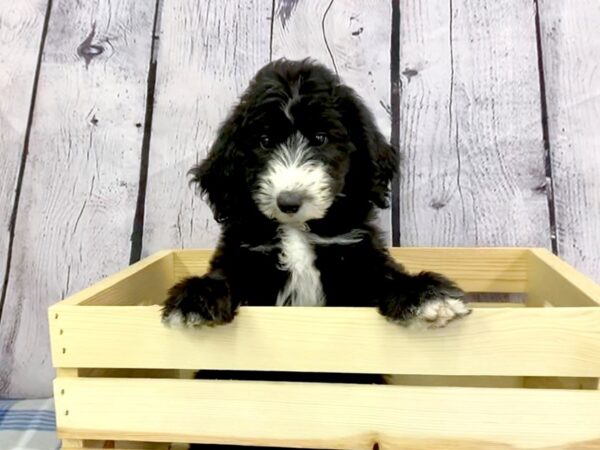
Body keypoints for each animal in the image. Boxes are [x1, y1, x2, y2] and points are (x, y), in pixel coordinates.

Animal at [162, 58, 472, 328]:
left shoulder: (358, 258)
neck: (297, 229)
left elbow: (386, 277)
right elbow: (224, 277)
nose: (288, 202)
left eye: (320, 138)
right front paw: (195, 299)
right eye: (265, 141)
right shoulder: (242, 256)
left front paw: (424, 296)